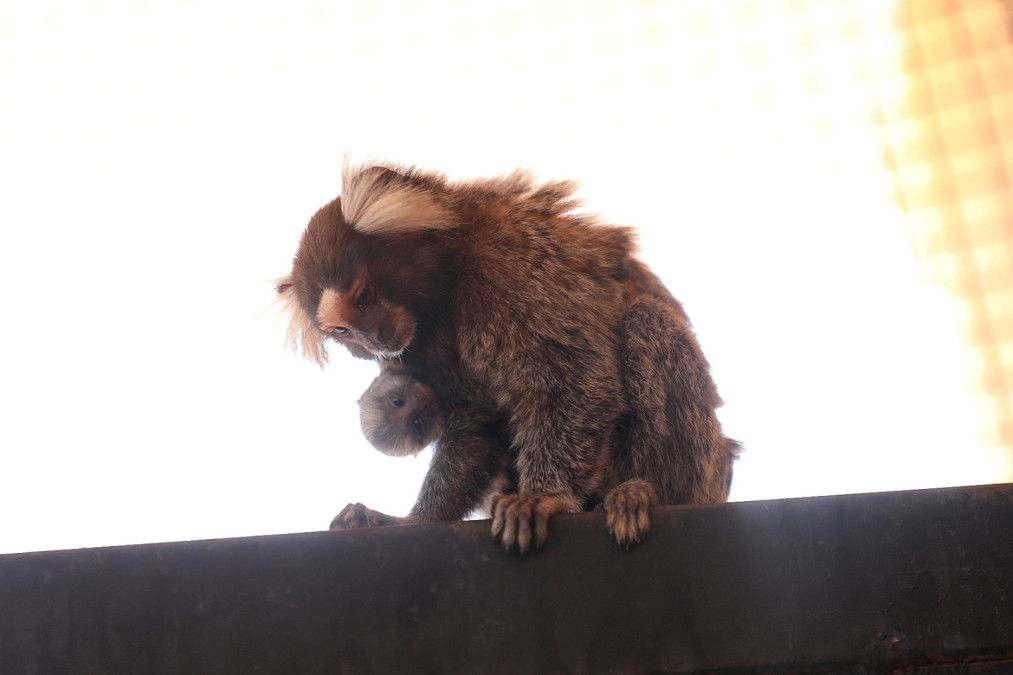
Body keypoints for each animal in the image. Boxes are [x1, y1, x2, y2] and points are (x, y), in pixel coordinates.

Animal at [277, 162, 738, 552]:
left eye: (365, 297)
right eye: (342, 330)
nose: (374, 339)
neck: (443, 294)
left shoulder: (510, 266)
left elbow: (574, 375)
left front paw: (543, 496)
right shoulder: (417, 358)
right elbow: (474, 428)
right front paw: (414, 519)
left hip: (704, 472)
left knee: (644, 322)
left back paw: (641, 493)